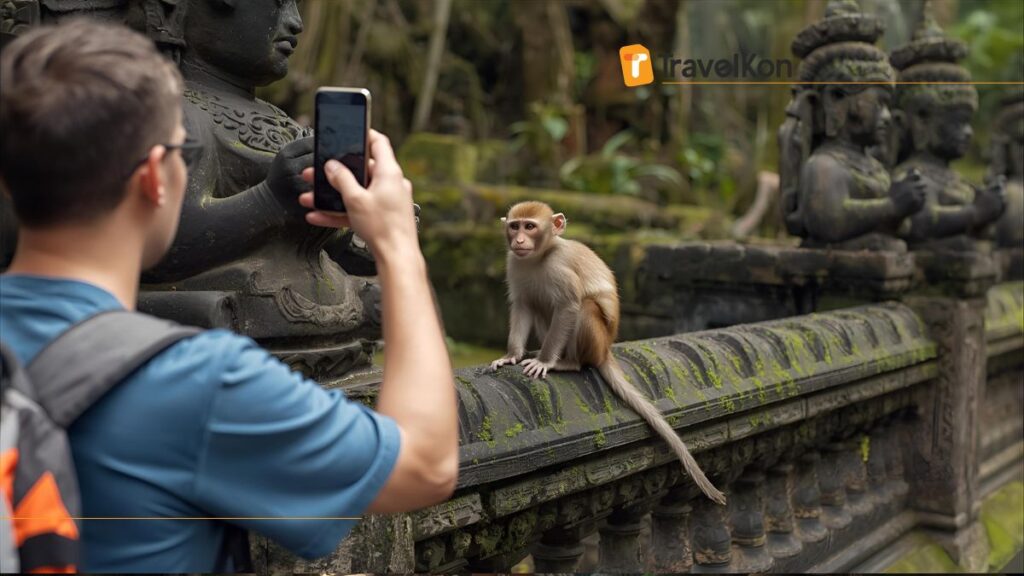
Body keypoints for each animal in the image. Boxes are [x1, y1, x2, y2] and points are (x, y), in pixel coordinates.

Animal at [489, 201, 726, 505]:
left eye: (530, 226)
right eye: (514, 226)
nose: (518, 240)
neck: (540, 257)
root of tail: (605, 351)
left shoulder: (559, 267)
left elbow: (568, 306)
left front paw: (544, 361)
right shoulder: (515, 263)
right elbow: (522, 305)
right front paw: (511, 355)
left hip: (595, 341)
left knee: (585, 307)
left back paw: (569, 363)